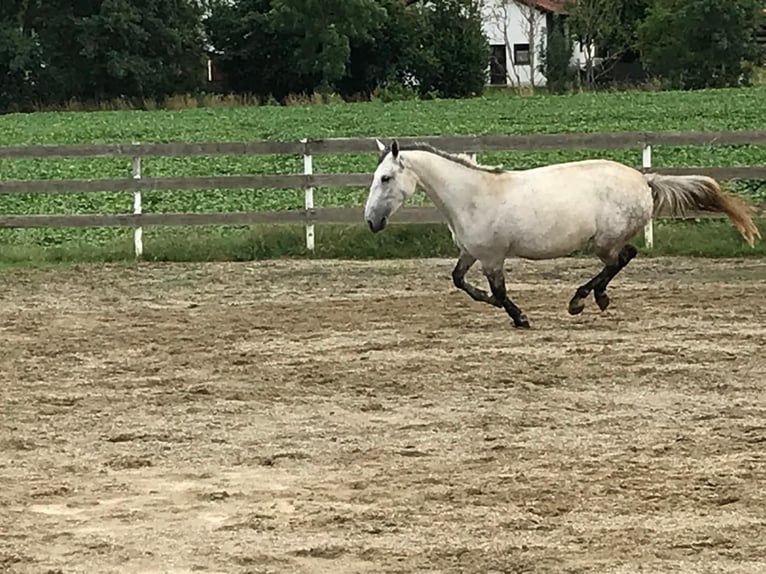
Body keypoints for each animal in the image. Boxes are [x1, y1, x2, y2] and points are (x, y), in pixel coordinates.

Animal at [366, 138, 760, 328]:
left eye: (385, 178)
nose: (371, 222)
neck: (472, 195)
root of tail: (644, 180)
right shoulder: (472, 252)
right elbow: (460, 280)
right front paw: (492, 303)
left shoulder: (493, 256)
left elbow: (499, 291)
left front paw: (520, 318)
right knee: (623, 259)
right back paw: (595, 298)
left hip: (603, 242)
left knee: (621, 259)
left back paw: (583, 300)